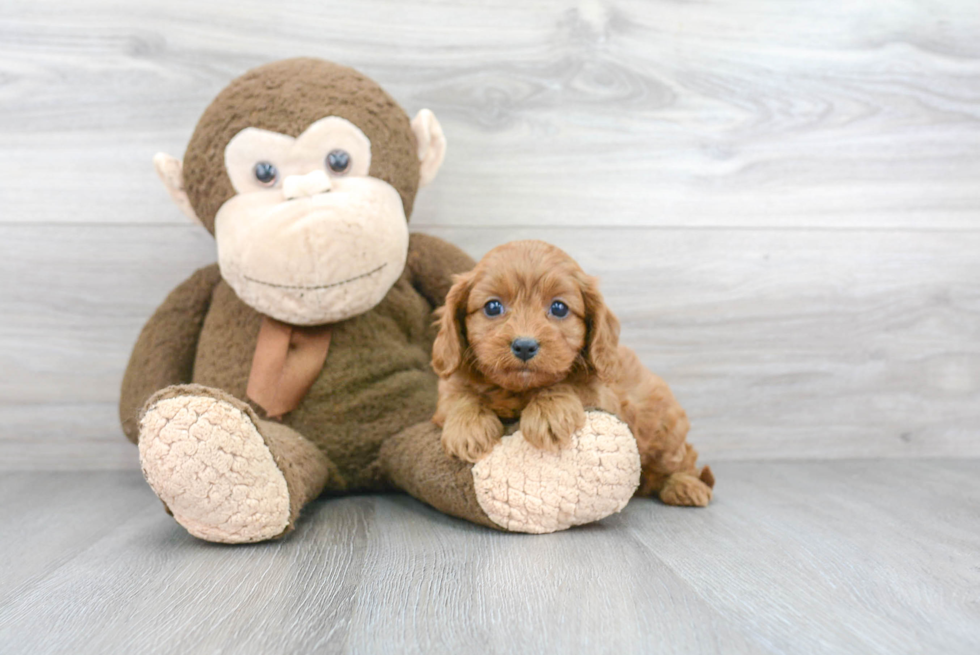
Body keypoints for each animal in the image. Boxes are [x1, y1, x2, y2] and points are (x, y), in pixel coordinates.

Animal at [432, 241, 716, 508]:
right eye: (493, 307)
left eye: (559, 308)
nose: (524, 346)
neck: (518, 390)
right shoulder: (448, 390)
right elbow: (459, 397)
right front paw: (468, 429)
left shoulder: (601, 395)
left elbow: (569, 385)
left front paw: (548, 414)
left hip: (666, 431)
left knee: (683, 460)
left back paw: (686, 486)